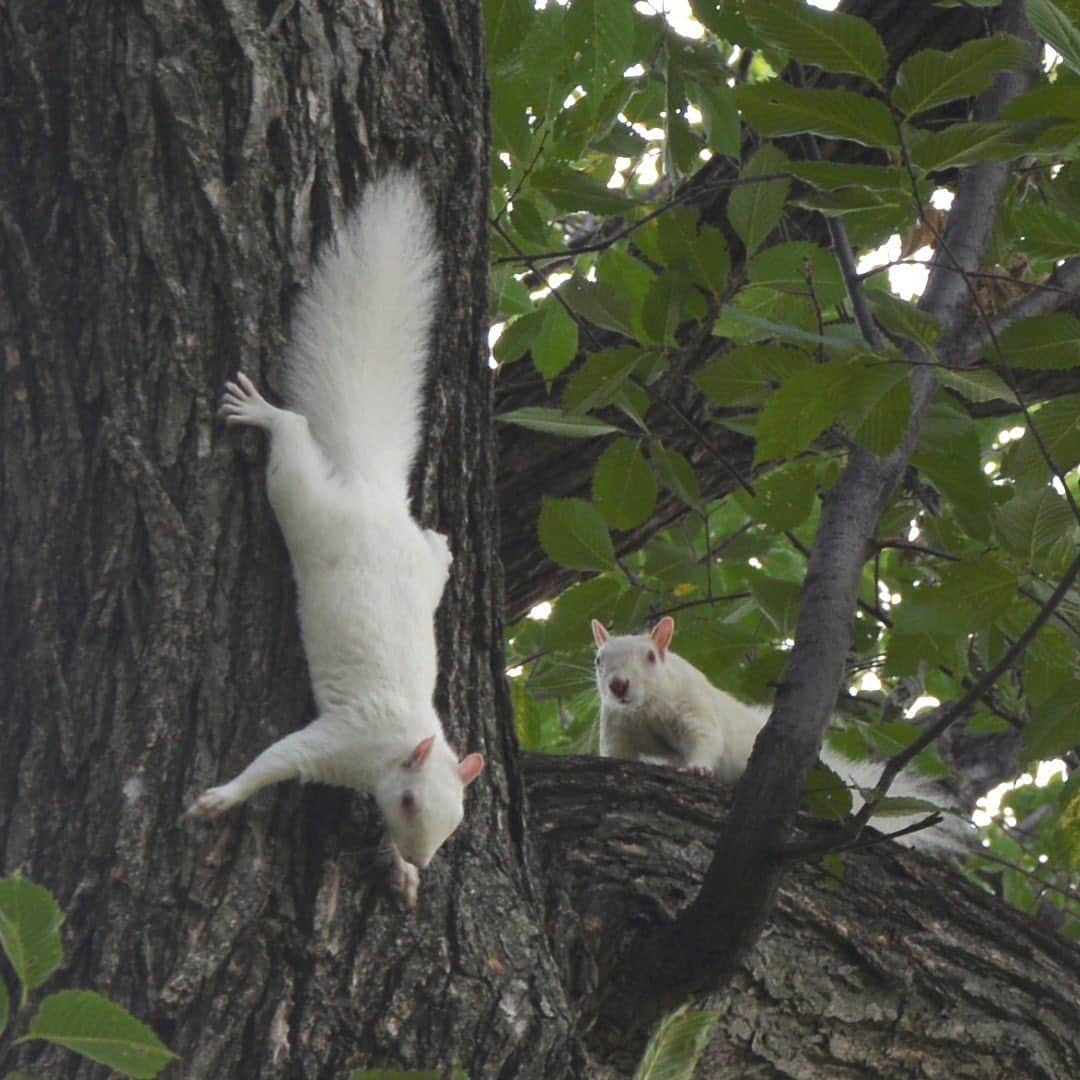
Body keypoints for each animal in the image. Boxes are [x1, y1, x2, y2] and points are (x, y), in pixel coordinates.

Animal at [186, 177, 486, 902]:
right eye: (408, 802)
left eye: (454, 823)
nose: (424, 855)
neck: (399, 740)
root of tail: (374, 491)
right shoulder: (341, 739)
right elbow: (276, 759)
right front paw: (221, 799)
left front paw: (403, 872)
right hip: (305, 504)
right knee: (293, 438)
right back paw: (261, 412)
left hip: (409, 564)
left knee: (428, 553)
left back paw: (445, 549)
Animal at [596, 613, 967, 846]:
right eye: (598, 660)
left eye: (650, 657)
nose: (618, 685)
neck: (646, 709)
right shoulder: (617, 726)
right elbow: (617, 751)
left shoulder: (694, 706)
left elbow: (705, 738)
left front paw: (698, 767)